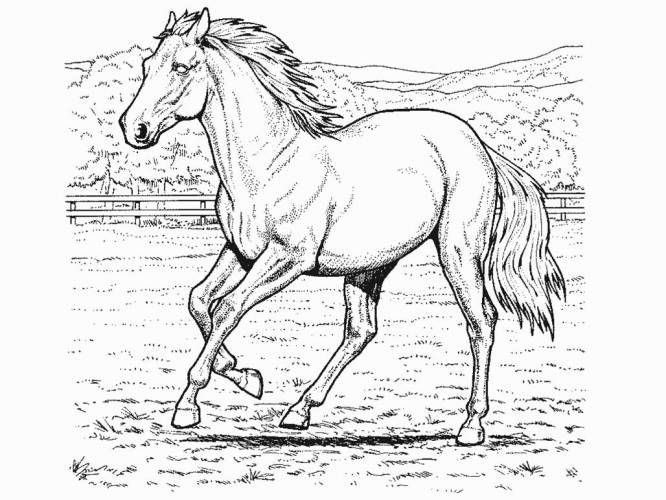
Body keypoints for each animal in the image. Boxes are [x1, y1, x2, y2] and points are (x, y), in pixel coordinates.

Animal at [119, 8, 565, 446]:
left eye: (180, 66)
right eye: (146, 65)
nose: (133, 128)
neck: (269, 165)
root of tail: (479, 145)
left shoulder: (287, 259)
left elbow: (228, 308)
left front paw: (188, 407)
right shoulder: (240, 252)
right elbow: (198, 301)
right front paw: (246, 376)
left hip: (458, 251)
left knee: (481, 322)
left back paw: (471, 425)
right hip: (369, 266)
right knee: (361, 331)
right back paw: (299, 411)